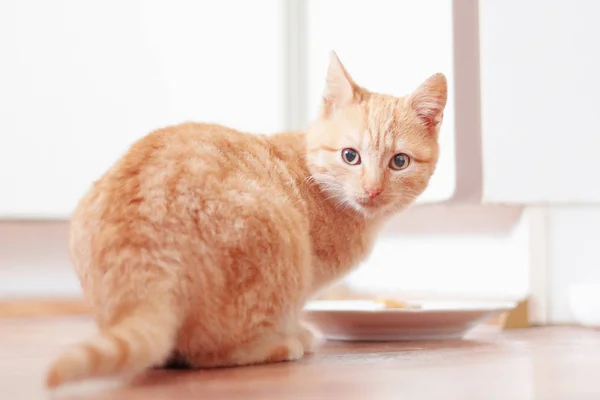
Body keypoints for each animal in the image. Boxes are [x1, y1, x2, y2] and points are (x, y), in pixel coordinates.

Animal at [45, 52, 446, 388]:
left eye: (399, 162)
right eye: (351, 156)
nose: (372, 190)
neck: (314, 178)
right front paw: (296, 331)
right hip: (281, 242)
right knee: (204, 354)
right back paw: (282, 344)